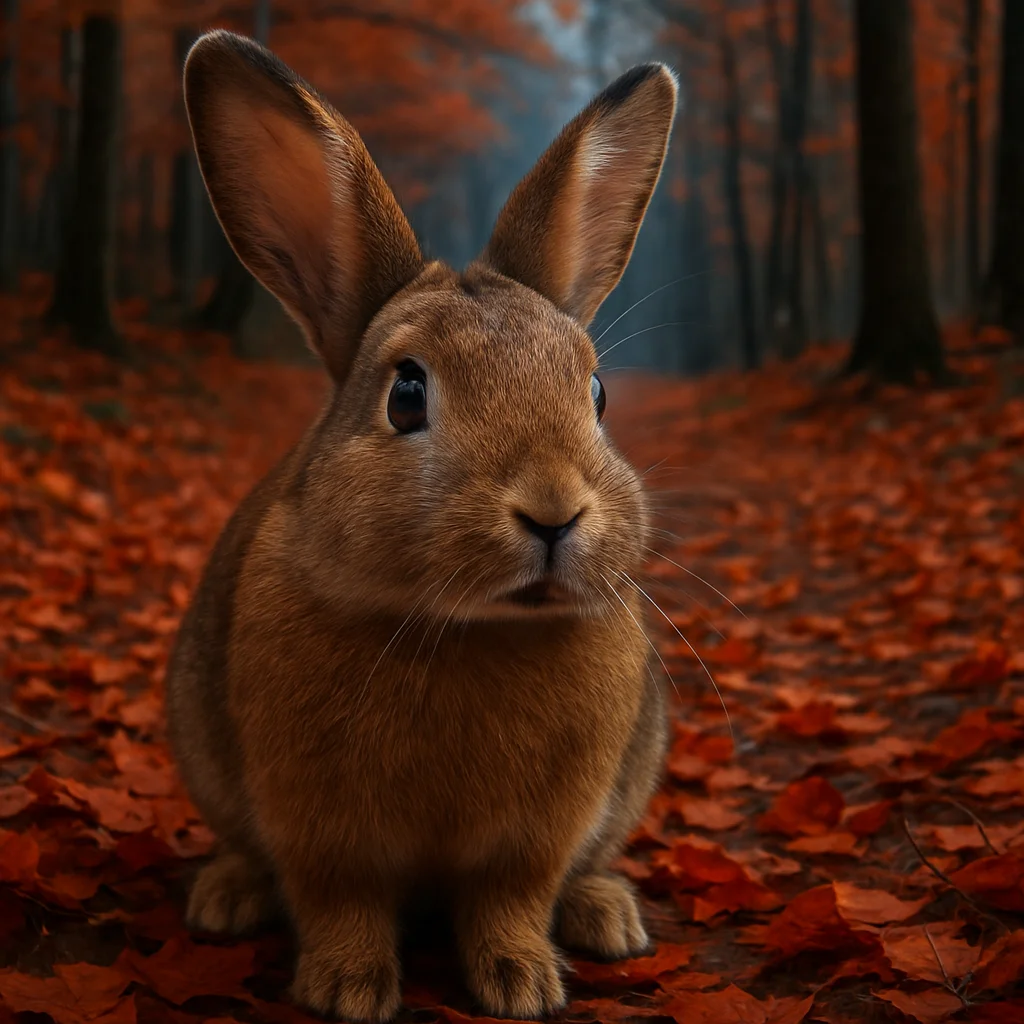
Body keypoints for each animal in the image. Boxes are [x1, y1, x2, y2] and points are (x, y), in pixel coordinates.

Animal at [165, 28, 678, 1024]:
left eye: (597, 393)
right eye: (407, 394)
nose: (553, 511)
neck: (470, 629)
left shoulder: (536, 838)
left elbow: (511, 900)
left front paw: (523, 984)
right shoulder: (321, 831)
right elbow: (341, 902)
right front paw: (347, 989)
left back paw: (606, 916)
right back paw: (225, 898)